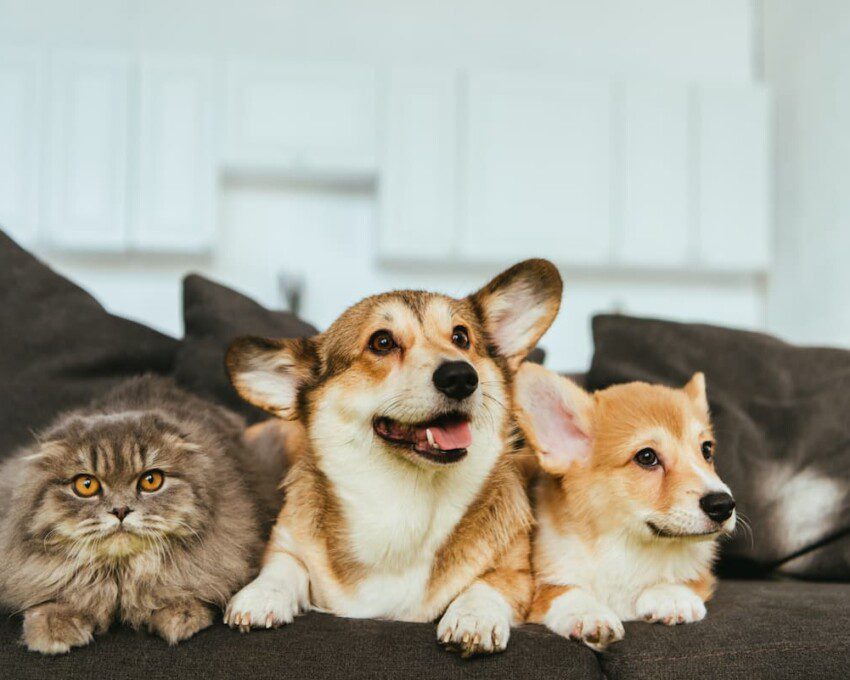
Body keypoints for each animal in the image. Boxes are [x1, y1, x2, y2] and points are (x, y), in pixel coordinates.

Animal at [0, 374, 284, 656]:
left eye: (150, 481)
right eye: (86, 485)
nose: (120, 510)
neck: (119, 575)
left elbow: (184, 585)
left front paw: (180, 615)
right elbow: (60, 591)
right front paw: (53, 628)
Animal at [224, 260, 564, 652]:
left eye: (461, 337)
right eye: (382, 342)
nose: (461, 376)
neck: (406, 502)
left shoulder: (517, 572)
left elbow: (488, 584)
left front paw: (473, 617)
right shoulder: (286, 543)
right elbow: (282, 566)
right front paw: (260, 595)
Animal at [512, 364, 732, 652]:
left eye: (706, 450)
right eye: (646, 457)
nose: (724, 505)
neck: (627, 547)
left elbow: (684, 578)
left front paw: (672, 595)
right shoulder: (538, 586)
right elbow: (563, 590)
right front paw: (589, 614)